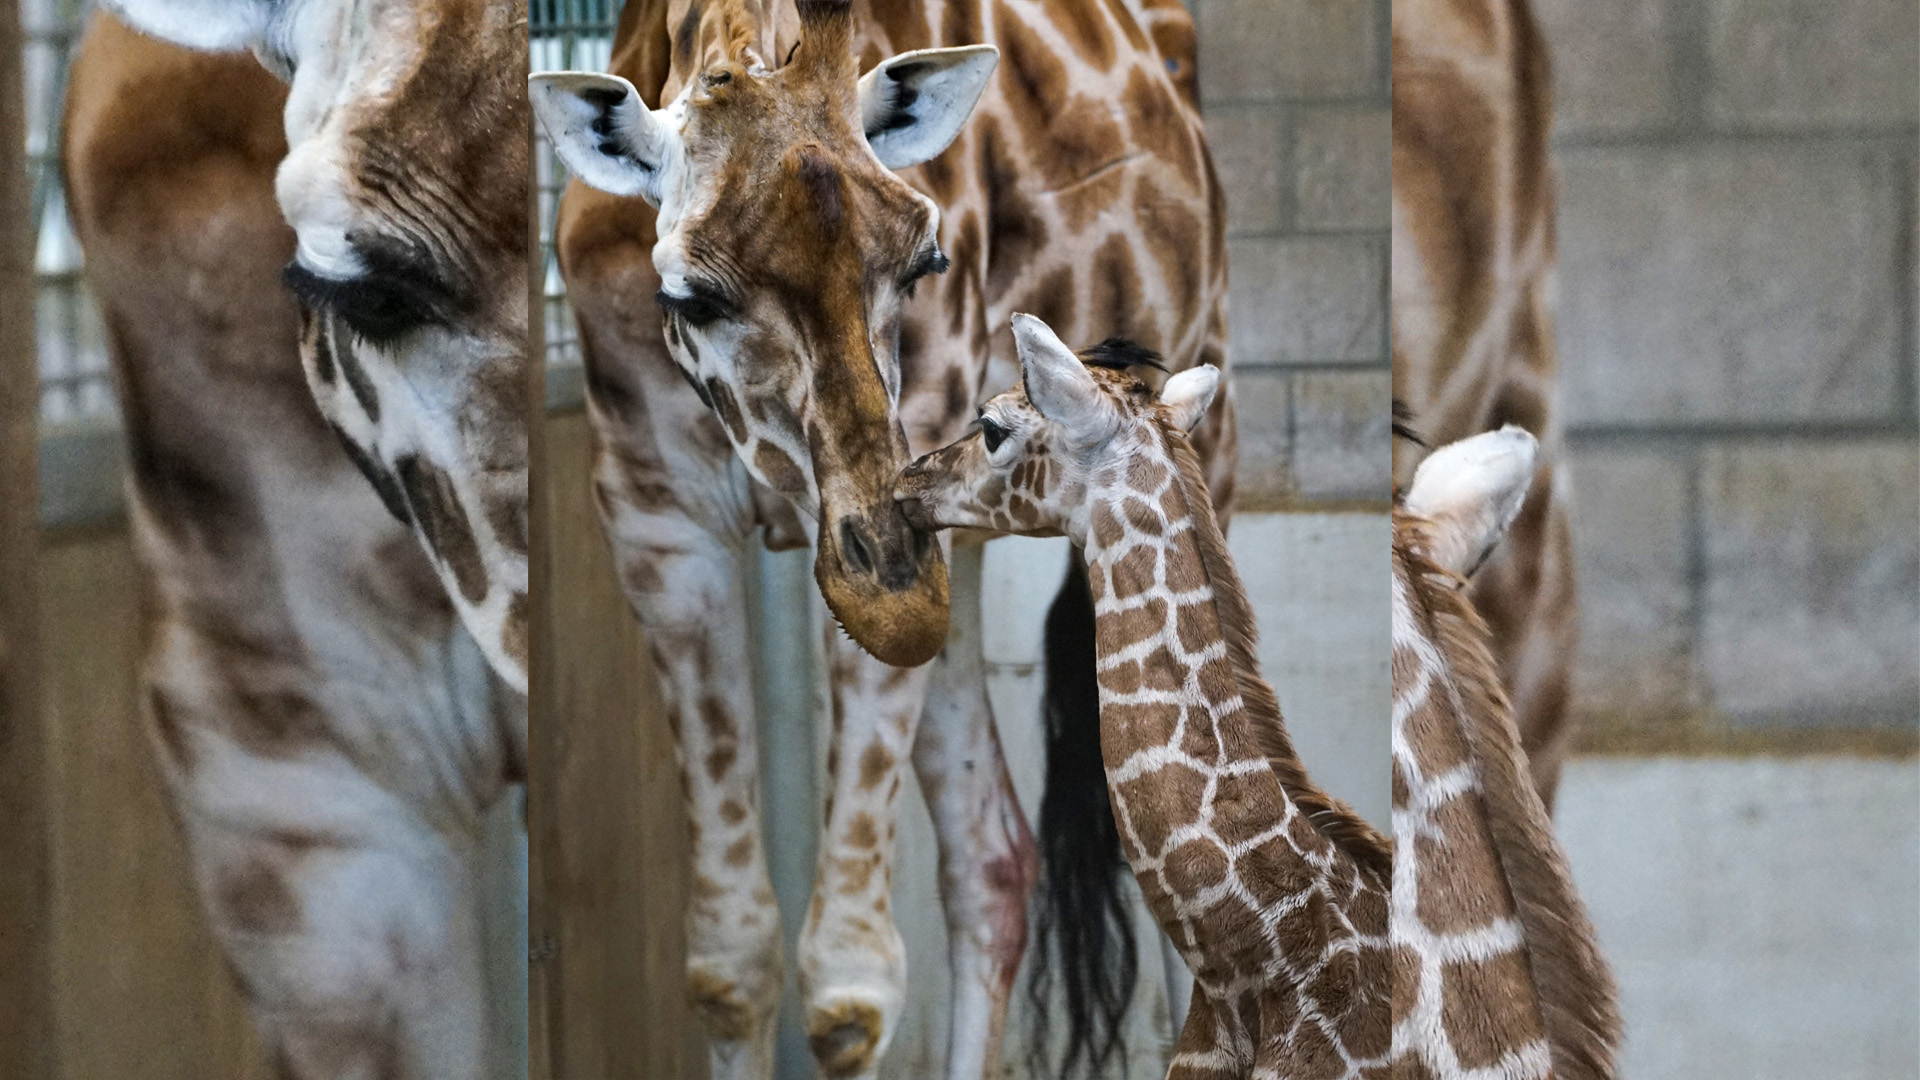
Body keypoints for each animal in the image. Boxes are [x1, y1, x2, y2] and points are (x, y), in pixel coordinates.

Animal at [535, 1, 1233, 1074]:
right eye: (689, 296)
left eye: (922, 263)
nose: (894, 608)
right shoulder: (659, 525)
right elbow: (731, 962)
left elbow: (848, 985)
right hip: (968, 546)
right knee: (995, 857)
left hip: (1204, 422)